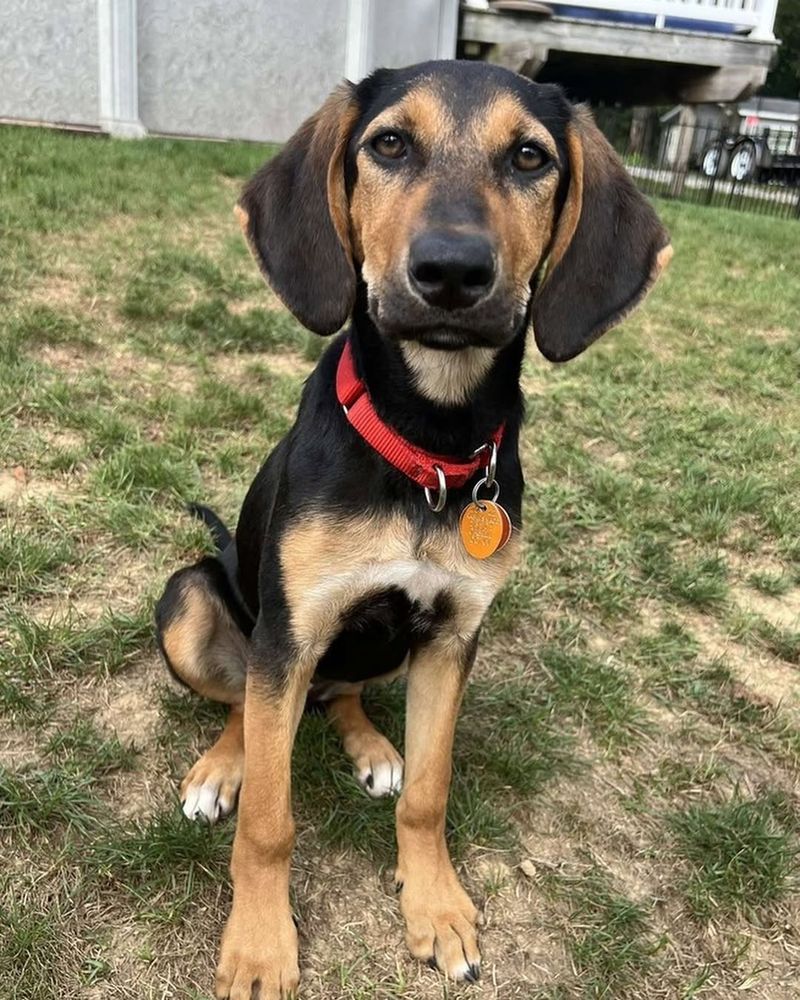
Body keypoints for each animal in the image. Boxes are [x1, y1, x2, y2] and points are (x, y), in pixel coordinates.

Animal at [155, 60, 668, 1000]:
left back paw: (368, 745)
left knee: (342, 694)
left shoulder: (453, 635)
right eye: (389, 144)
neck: (429, 440)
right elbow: (270, 822)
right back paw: (223, 765)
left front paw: (434, 904)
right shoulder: (290, 631)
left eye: (531, 157)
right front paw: (260, 944)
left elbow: (430, 795)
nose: (453, 271)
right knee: (245, 699)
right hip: (195, 600)